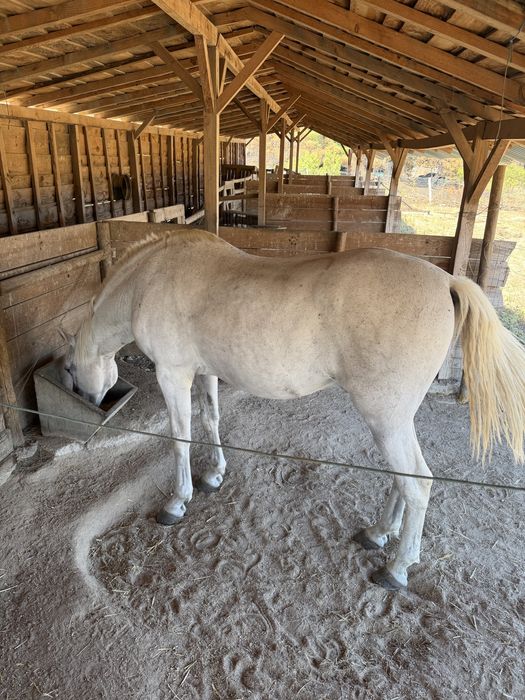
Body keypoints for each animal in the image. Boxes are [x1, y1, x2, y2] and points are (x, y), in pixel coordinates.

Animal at [62, 229, 525, 591]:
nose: (89, 403)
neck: (152, 277)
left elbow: (180, 439)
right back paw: (379, 533)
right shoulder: (204, 372)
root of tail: (447, 281)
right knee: (405, 479)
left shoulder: (172, 374)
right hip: (395, 419)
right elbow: (211, 419)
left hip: (385, 419)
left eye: (68, 369)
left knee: (418, 483)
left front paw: (177, 503)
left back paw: (396, 569)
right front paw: (214, 475)